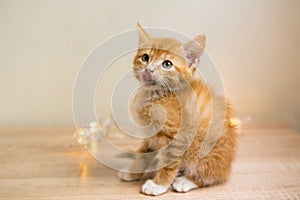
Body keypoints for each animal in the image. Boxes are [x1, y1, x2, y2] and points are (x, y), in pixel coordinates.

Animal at [118, 23, 238, 197]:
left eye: (167, 64)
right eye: (145, 58)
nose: (149, 70)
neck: (156, 95)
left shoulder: (178, 137)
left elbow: (169, 163)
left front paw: (158, 184)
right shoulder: (150, 135)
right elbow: (142, 153)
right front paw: (133, 171)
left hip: (205, 149)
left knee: (215, 176)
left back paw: (186, 181)